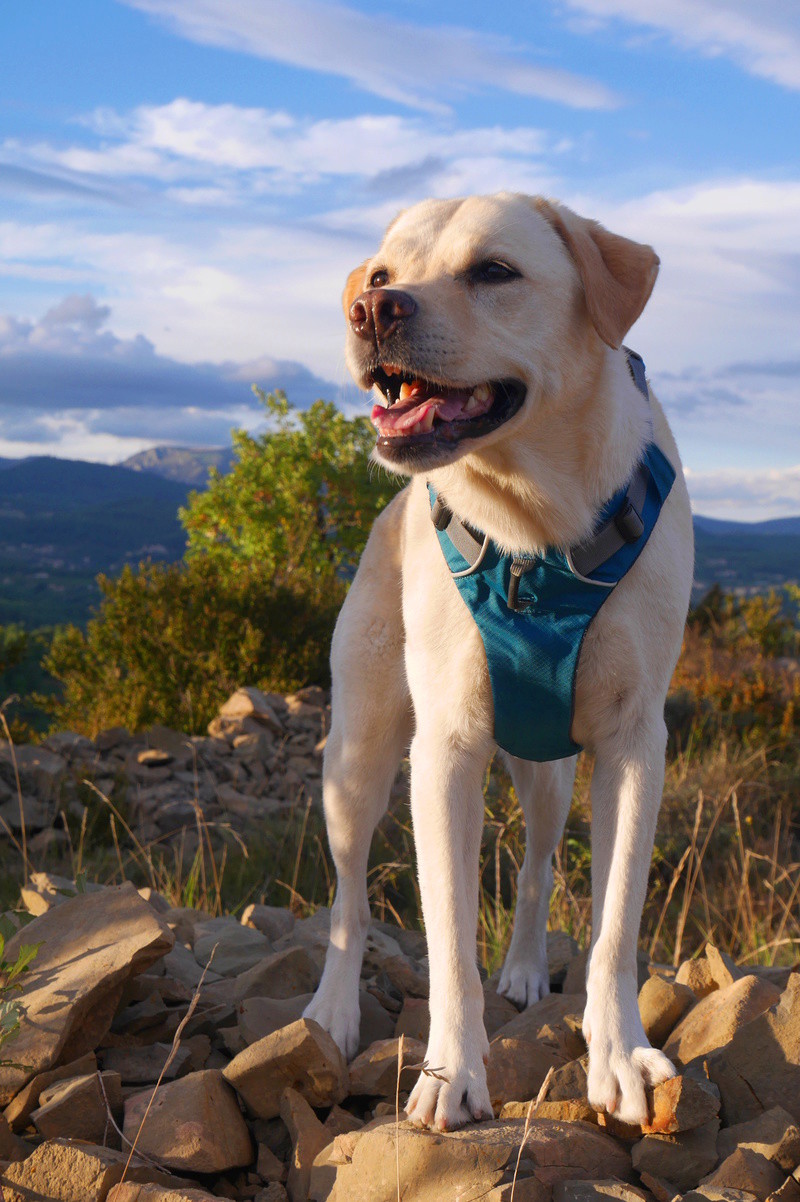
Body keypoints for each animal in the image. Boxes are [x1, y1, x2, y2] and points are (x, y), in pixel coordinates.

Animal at [305, 192, 691, 1129]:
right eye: (383, 273)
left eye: (494, 271)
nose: (371, 309)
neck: (533, 524)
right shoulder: (443, 754)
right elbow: (447, 937)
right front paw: (451, 1075)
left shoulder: (634, 745)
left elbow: (615, 922)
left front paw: (618, 1056)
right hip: (357, 759)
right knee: (345, 898)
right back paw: (331, 1009)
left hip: (548, 774)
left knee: (538, 866)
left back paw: (520, 967)